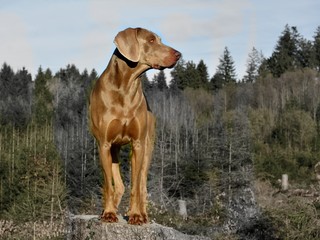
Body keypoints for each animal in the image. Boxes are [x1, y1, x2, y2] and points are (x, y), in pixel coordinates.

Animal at [89, 27, 180, 225]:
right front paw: (109, 213)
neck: (125, 86)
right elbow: (108, 184)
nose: (178, 54)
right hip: (113, 148)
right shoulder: (103, 144)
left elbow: (136, 185)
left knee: (141, 184)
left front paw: (136, 215)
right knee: (118, 184)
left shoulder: (138, 143)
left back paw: (142, 214)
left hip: (148, 146)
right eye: (151, 40)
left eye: (159, 39)